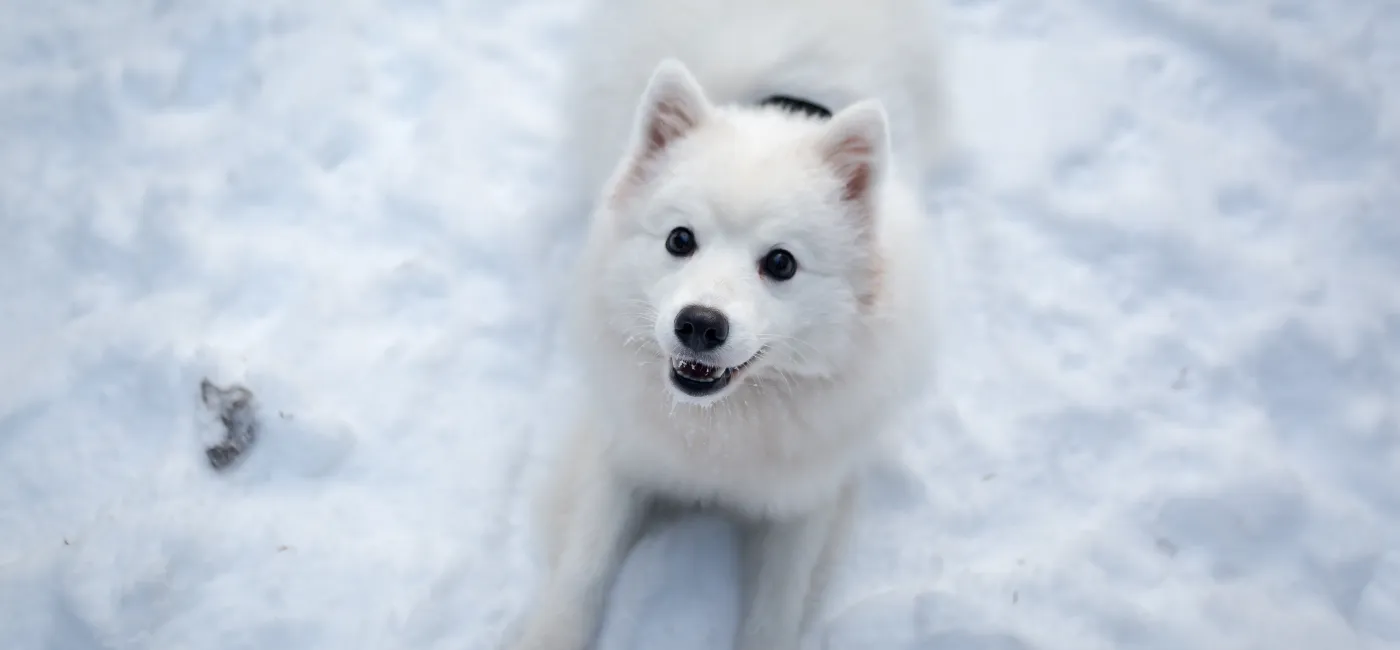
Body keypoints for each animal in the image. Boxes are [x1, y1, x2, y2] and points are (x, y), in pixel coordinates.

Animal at [515, 2, 952, 647]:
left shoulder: (806, 501)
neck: (721, 430)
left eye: (781, 263)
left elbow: (777, 612)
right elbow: (583, 571)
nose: (699, 325)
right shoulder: (618, 453)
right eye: (680, 239)